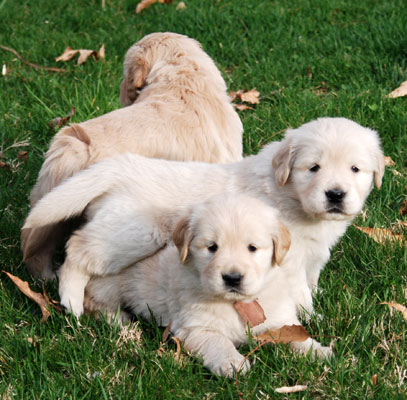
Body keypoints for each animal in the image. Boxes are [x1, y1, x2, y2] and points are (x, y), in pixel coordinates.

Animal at [23, 117, 384, 317]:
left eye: (355, 169)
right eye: (313, 168)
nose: (335, 195)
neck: (292, 197)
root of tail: (119, 167)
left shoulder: (313, 254)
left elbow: (312, 279)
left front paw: (319, 297)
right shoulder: (289, 260)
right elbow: (300, 293)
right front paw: (312, 317)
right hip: (132, 233)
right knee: (77, 250)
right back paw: (71, 301)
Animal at [84, 194, 332, 377]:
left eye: (252, 248)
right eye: (212, 247)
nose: (232, 278)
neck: (237, 304)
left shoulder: (278, 318)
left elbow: (295, 335)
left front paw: (318, 352)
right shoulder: (194, 327)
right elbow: (218, 341)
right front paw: (232, 363)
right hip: (111, 283)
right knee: (93, 301)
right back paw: (118, 319)